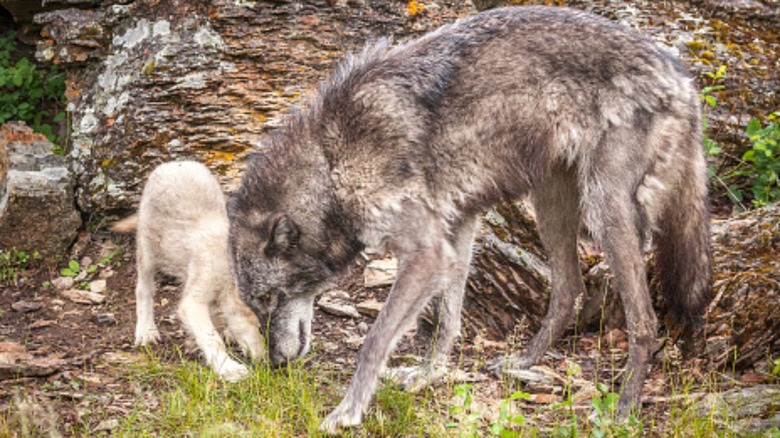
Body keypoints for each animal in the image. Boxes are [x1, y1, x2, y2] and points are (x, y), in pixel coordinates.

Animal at [112, 160, 266, 380]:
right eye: (262, 329)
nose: (276, 365)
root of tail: (174, 163)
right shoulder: (193, 301)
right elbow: (211, 337)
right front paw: (229, 369)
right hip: (147, 250)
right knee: (143, 289)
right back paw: (146, 331)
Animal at [227, 5, 712, 432]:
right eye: (256, 304)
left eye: (270, 299)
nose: (275, 365)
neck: (331, 162)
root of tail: (681, 76)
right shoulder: (457, 229)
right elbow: (448, 318)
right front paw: (425, 376)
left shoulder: (426, 253)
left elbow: (375, 339)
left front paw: (348, 412)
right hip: (550, 205)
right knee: (569, 288)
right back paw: (525, 362)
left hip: (605, 211)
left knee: (644, 321)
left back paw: (623, 410)